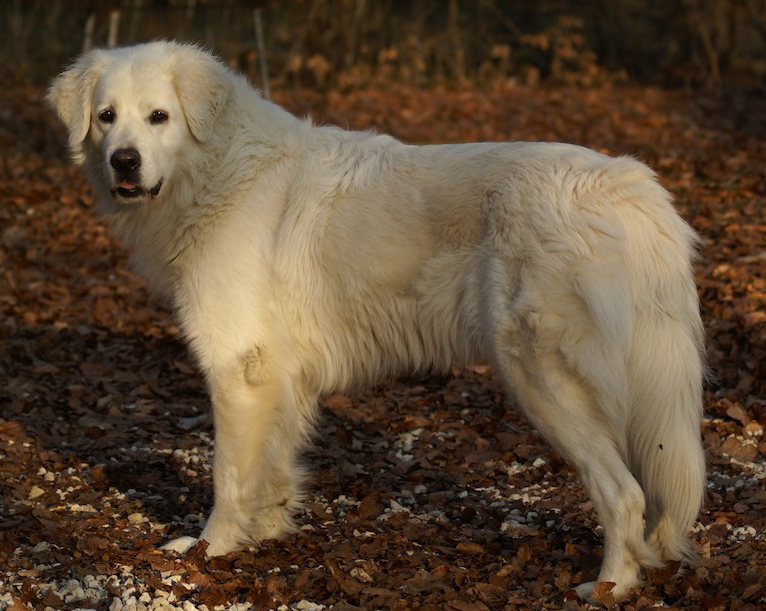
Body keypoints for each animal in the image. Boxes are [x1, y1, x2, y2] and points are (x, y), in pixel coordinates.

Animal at [49, 43, 708, 604]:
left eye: (159, 117)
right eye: (106, 117)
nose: (124, 162)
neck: (216, 171)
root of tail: (628, 186)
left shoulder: (238, 370)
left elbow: (228, 475)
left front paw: (210, 550)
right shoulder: (281, 379)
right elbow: (273, 465)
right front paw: (268, 532)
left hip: (542, 378)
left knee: (625, 495)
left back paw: (610, 587)